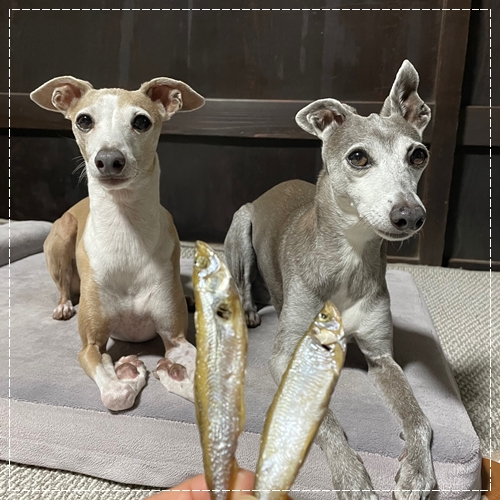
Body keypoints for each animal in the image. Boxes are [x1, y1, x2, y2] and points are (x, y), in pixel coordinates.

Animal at [30, 76, 204, 411]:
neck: (126, 232)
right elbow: (115, 395)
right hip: (63, 234)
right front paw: (128, 373)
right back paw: (63, 305)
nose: (109, 161)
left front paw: (174, 375)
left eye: (141, 121)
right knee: (63, 286)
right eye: (84, 120)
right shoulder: (89, 345)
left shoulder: (176, 338)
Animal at [224, 60, 435, 499]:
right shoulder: (287, 355)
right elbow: (323, 420)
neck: (349, 260)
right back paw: (248, 311)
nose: (410, 216)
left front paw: (417, 469)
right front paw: (352, 477)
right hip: (241, 226)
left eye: (418, 154)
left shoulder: (381, 356)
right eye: (358, 157)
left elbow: (417, 416)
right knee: (241, 282)